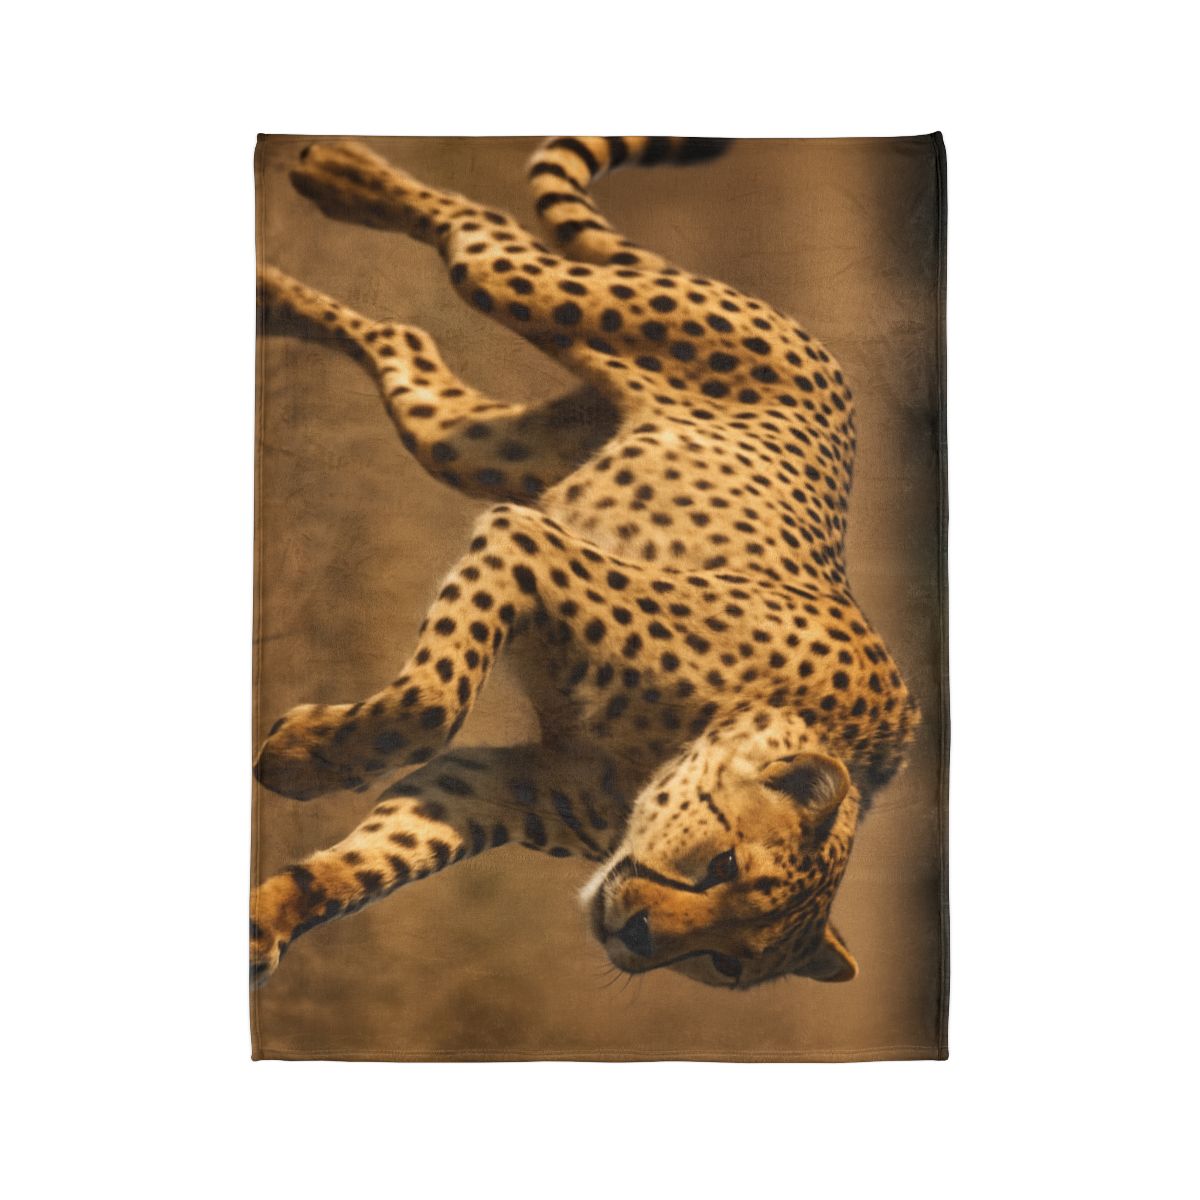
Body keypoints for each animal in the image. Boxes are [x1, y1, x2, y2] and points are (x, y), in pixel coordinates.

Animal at [252, 135, 920, 992]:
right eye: (723, 866)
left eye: (728, 961)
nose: (634, 936)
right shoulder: (527, 541)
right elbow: (431, 701)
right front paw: (303, 759)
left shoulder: (491, 787)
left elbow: (376, 860)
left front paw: (266, 920)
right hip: (557, 306)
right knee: (478, 233)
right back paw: (337, 172)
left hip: (480, 445)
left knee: (407, 341)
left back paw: (269, 294)